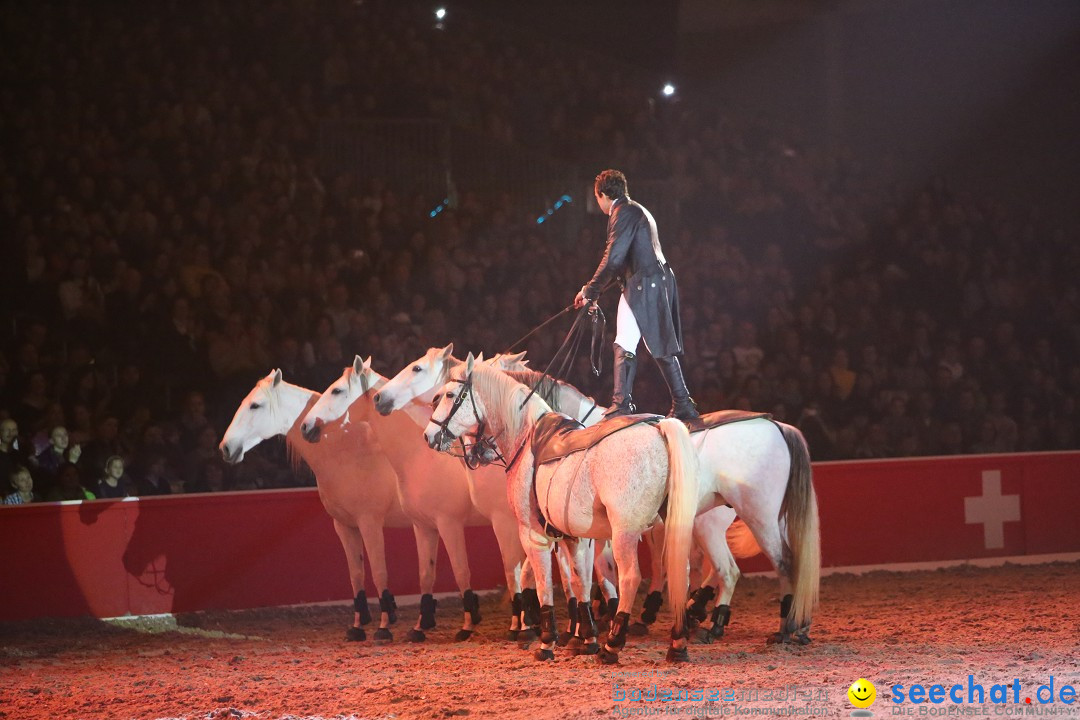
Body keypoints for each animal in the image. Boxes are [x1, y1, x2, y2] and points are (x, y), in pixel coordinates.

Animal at [219, 371, 408, 643]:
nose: (226, 447)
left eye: (255, 405)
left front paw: (384, 627)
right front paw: (357, 628)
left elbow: (379, 572)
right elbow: (356, 575)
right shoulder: (344, 525)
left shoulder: (370, 523)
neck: (348, 448)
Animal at [300, 354, 535, 643]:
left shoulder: (453, 523)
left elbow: (469, 570)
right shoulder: (423, 526)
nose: (307, 426)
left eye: (337, 390)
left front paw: (472, 626)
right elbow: (425, 574)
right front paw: (420, 626)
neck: (418, 456)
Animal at [423, 354, 699, 664]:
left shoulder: (533, 535)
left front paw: (547, 641)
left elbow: (542, 583)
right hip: (669, 527)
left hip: (624, 533)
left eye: (449, 395)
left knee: (630, 578)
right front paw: (586, 637)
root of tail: (659, 427)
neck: (526, 438)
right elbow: (578, 582)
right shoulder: (572, 538)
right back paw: (677, 643)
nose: (429, 435)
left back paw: (613, 645)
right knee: (681, 573)